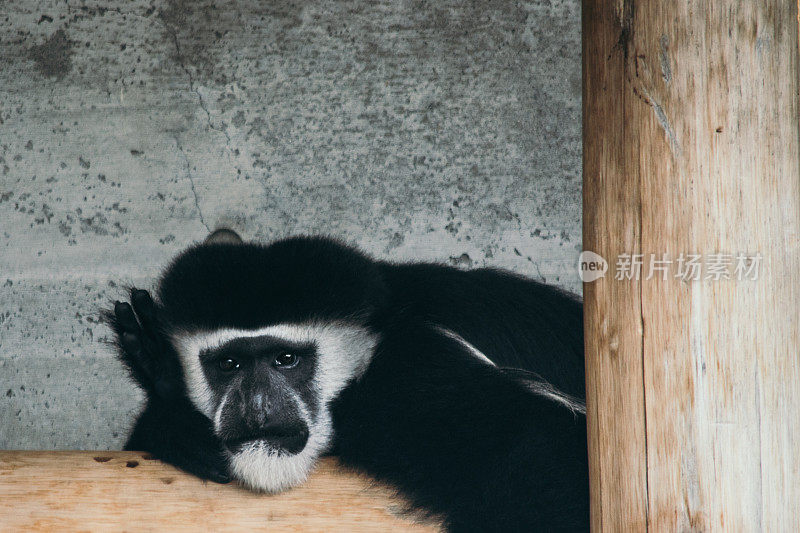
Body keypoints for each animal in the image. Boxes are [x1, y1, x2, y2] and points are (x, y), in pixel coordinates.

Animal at [108, 230, 588, 532]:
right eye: (229, 364)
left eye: (286, 359)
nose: (257, 406)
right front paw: (169, 404)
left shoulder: (420, 373)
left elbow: (546, 450)